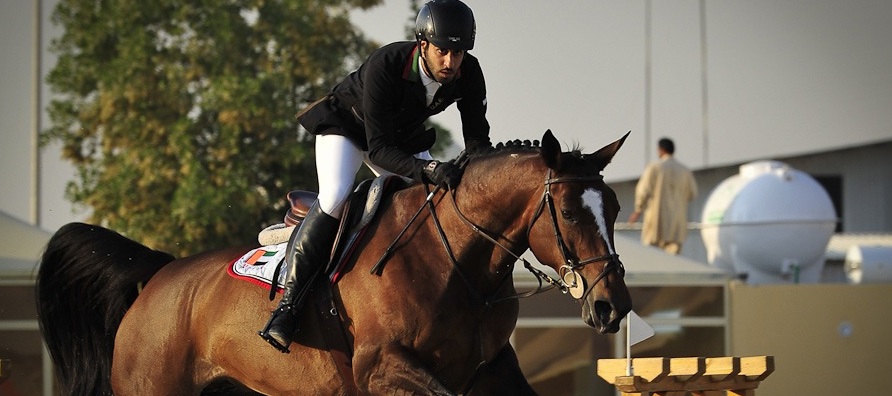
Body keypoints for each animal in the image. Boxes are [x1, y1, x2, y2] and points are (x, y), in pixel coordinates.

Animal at [36, 130, 636, 392]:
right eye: (569, 212)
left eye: (614, 208)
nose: (613, 306)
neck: (456, 265)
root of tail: (157, 276)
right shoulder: (380, 368)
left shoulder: (489, 369)